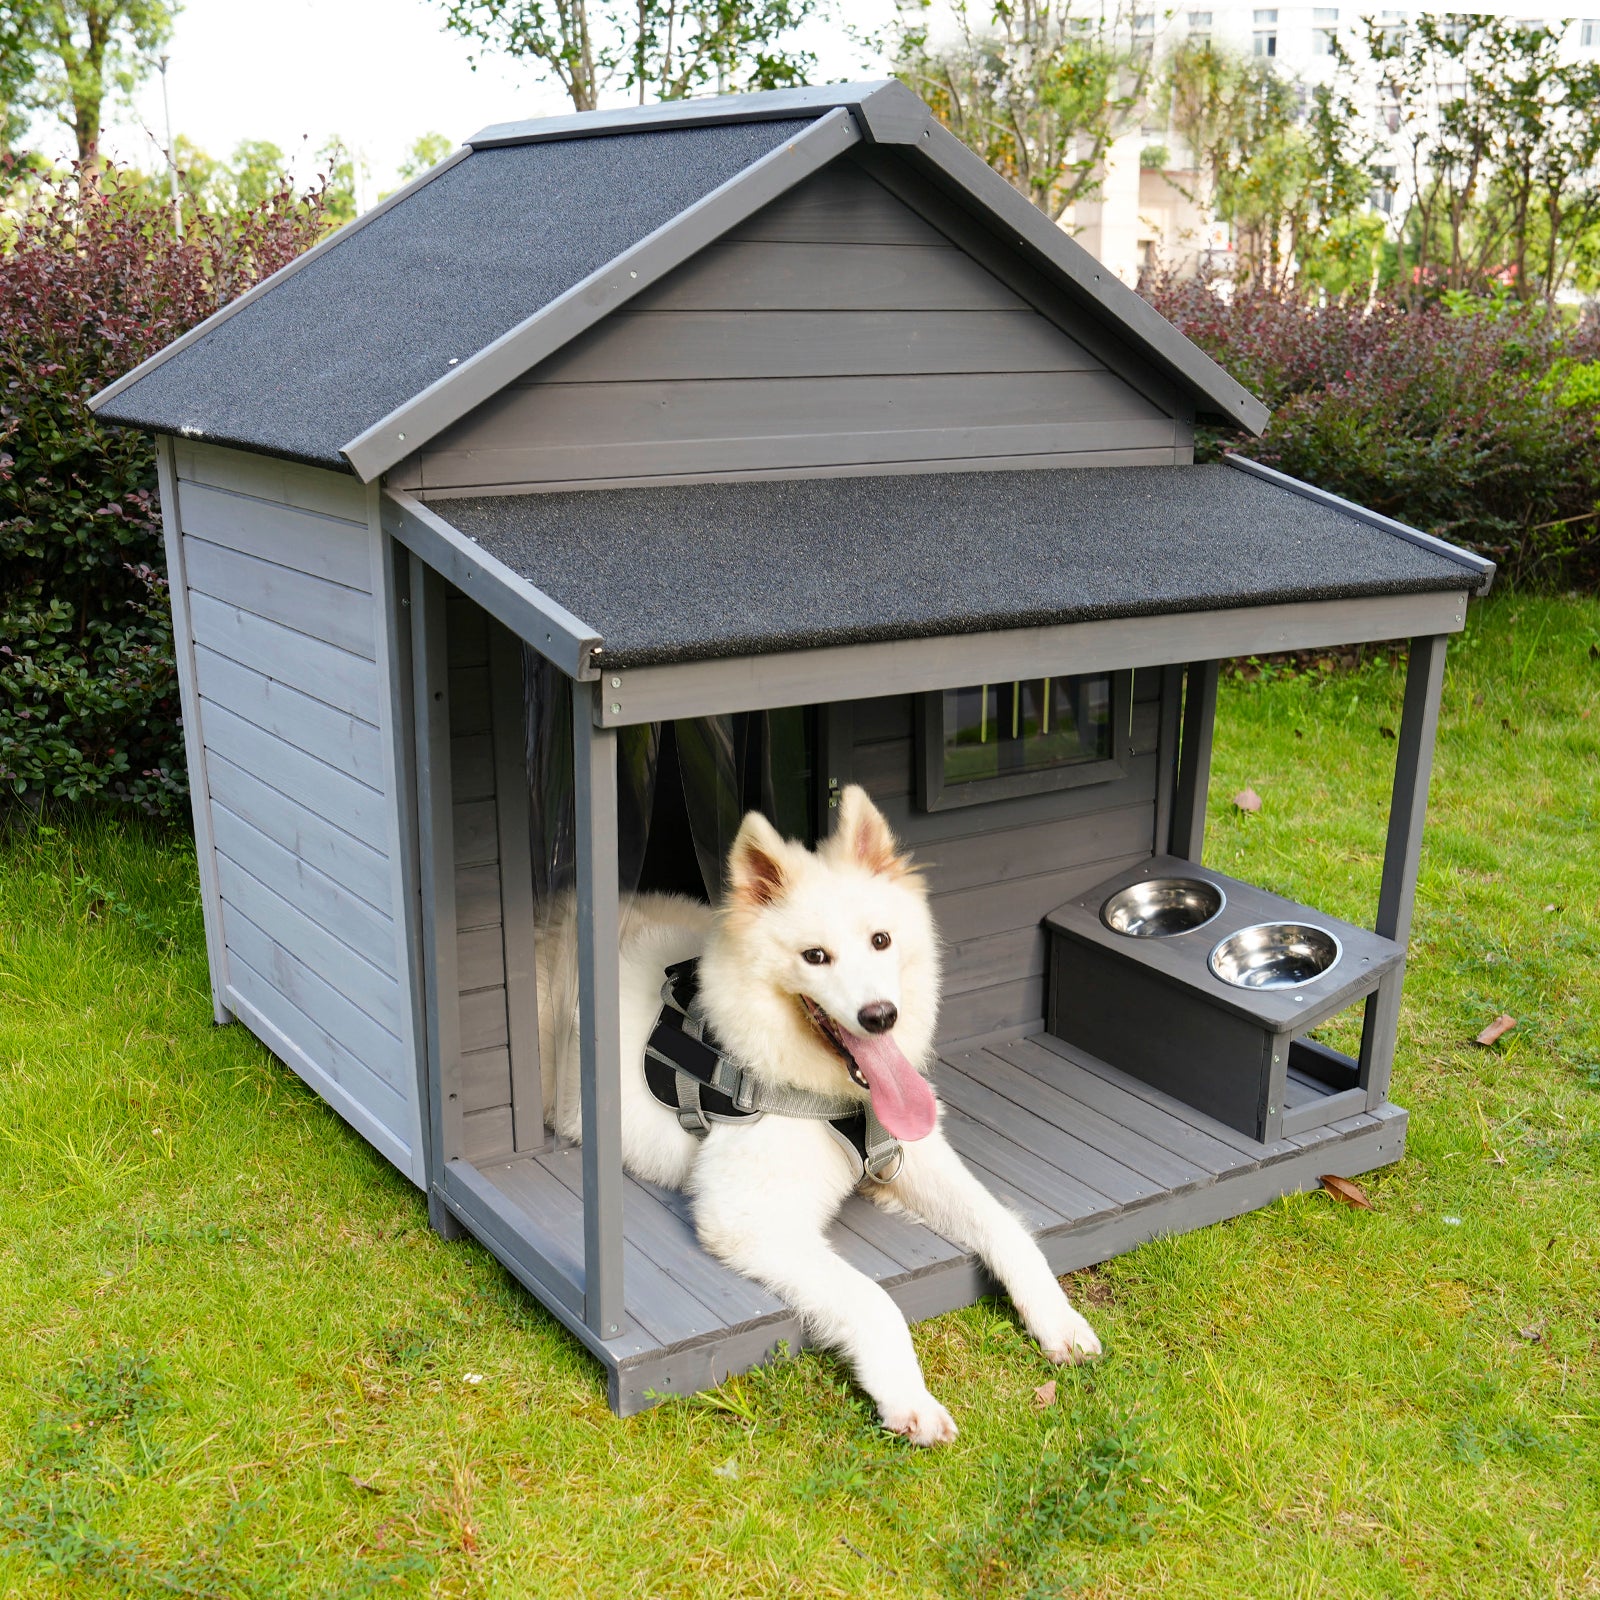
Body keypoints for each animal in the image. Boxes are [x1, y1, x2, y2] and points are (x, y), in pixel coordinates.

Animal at [540, 780, 1100, 1446]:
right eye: (815, 956)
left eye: (881, 940)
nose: (880, 1017)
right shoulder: (749, 1220)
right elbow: (873, 1298)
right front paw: (907, 1399)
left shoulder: (914, 1157)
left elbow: (1007, 1226)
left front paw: (1057, 1318)